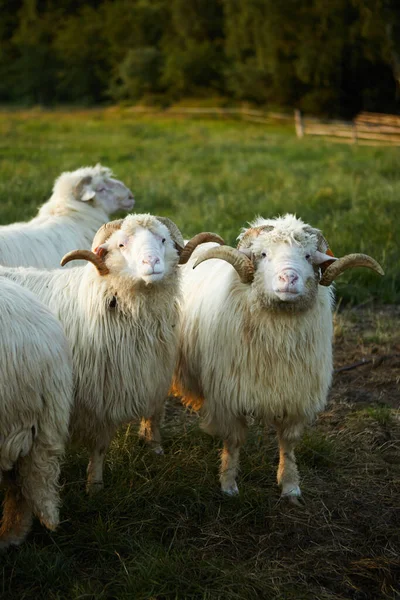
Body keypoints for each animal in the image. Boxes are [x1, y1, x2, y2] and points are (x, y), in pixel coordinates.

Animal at [0, 216, 220, 492]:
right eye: (121, 244)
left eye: (163, 239)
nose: (152, 262)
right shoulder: (99, 396)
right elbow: (100, 444)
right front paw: (95, 485)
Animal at [173, 213, 384, 504]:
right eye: (263, 254)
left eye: (308, 256)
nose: (289, 277)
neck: (278, 336)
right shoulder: (229, 395)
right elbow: (234, 442)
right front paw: (228, 484)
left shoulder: (295, 395)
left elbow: (288, 443)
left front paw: (290, 485)